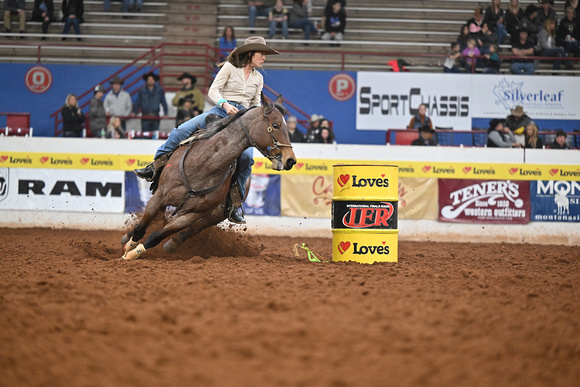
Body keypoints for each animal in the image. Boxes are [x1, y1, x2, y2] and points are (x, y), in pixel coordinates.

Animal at [120, 94, 296, 260]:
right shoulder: (160, 196)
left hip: (215, 214)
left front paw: (131, 254)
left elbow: (156, 236)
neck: (202, 167)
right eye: (275, 125)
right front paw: (128, 247)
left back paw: (172, 244)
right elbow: (141, 227)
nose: (290, 160)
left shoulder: (192, 215)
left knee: (194, 228)